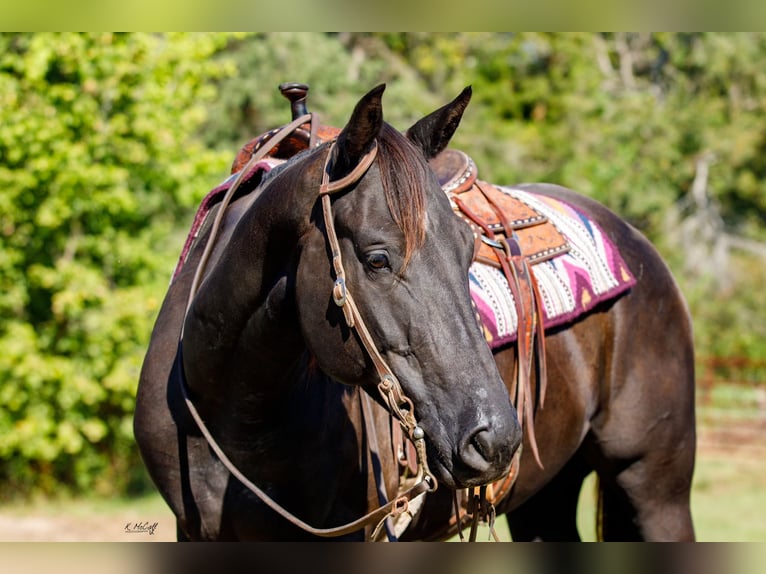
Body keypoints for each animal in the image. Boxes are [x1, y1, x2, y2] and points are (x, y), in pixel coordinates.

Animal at [135, 83, 700, 544]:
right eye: (377, 259)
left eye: (468, 249)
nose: (496, 440)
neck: (236, 416)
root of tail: (635, 244)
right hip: (549, 495)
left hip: (655, 487)